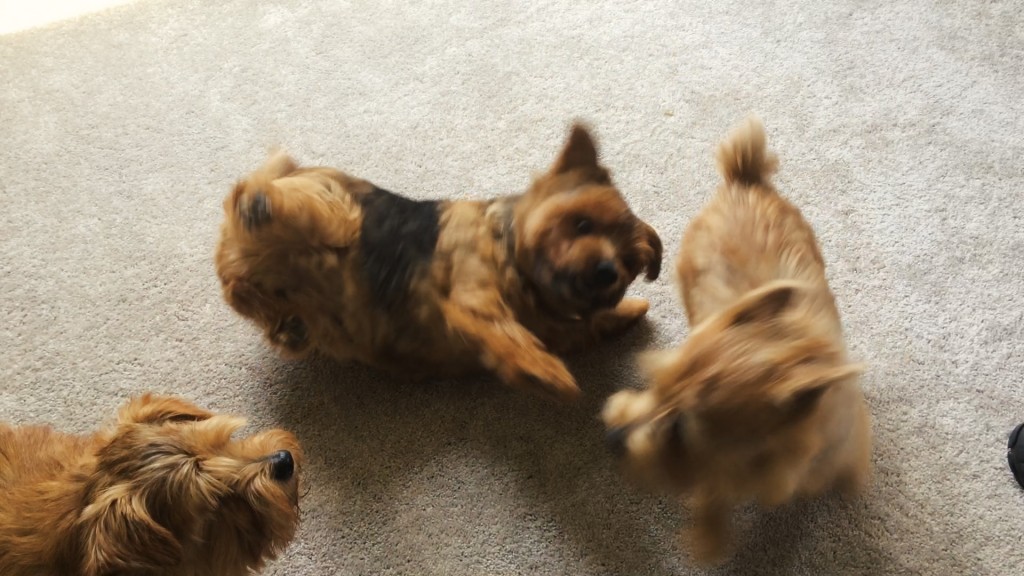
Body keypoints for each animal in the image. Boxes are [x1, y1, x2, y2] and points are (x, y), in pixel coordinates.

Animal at [217, 121, 663, 399]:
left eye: (628, 262)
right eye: (582, 223)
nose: (607, 271)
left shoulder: (558, 327)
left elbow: (585, 326)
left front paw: (628, 311)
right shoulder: (471, 293)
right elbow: (504, 330)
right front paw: (542, 371)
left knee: (240, 286)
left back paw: (287, 324)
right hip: (325, 202)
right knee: (256, 195)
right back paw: (260, 204)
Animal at [598, 115, 872, 561]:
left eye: (679, 431)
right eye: (655, 382)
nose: (612, 437)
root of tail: (742, 179)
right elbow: (716, 492)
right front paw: (711, 533)